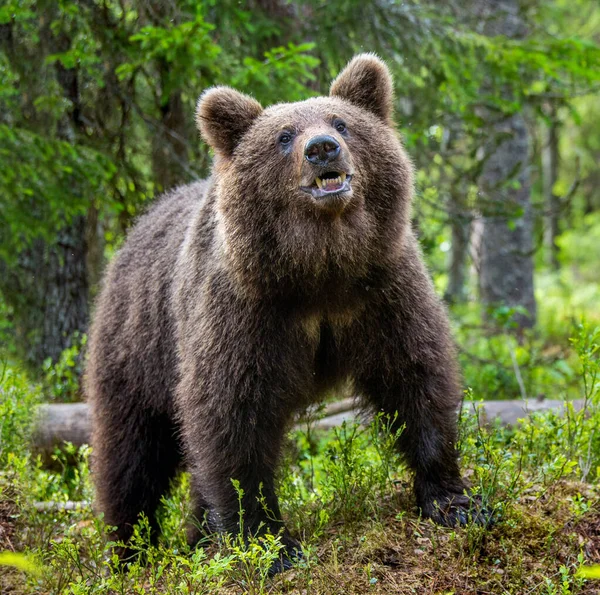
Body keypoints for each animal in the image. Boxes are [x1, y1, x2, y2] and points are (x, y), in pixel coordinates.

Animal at [84, 56, 480, 572]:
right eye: (284, 136)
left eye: (342, 122)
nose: (323, 149)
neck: (320, 268)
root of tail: (135, 228)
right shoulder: (247, 311)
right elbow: (233, 417)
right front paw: (269, 543)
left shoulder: (382, 290)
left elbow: (416, 377)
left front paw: (453, 500)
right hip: (138, 349)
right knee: (131, 454)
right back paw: (130, 551)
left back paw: (198, 537)